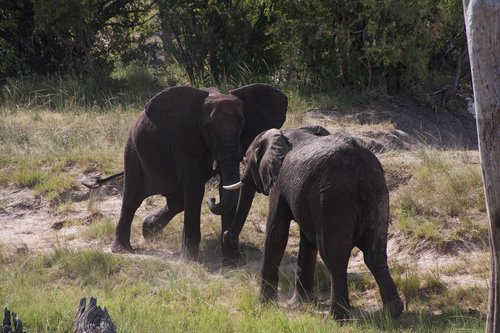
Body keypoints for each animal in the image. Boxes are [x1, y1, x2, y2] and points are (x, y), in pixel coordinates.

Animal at [87, 83, 286, 262]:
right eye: (208, 128)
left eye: (242, 125)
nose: (212, 200)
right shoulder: (183, 141)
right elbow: (195, 187)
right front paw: (190, 260)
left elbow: (226, 188)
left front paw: (232, 261)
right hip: (132, 150)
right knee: (132, 197)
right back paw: (122, 249)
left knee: (177, 202)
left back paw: (148, 230)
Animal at [225, 126, 404, 320]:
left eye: (248, 161)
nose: (227, 236)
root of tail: (362, 170)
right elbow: (307, 241)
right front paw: (299, 303)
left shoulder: (279, 184)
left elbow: (276, 233)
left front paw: (264, 307)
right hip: (379, 195)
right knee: (375, 253)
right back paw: (393, 311)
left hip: (333, 199)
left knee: (335, 258)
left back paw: (334, 318)